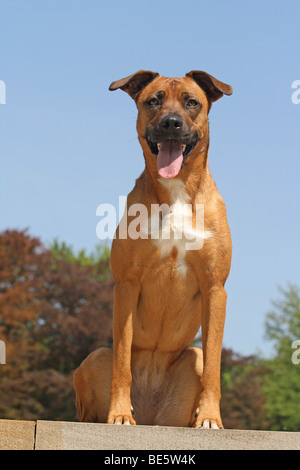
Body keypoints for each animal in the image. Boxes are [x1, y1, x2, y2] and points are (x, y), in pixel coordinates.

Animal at [74, 70, 233, 430]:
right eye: (153, 101)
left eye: (192, 102)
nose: (171, 123)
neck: (176, 192)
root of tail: (150, 415)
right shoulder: (127, 283)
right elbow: (122, 362)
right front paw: (119, 413)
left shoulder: (215, 286)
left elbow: (214, 367)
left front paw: (210, 418)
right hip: (94, 359)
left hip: (191, 363)